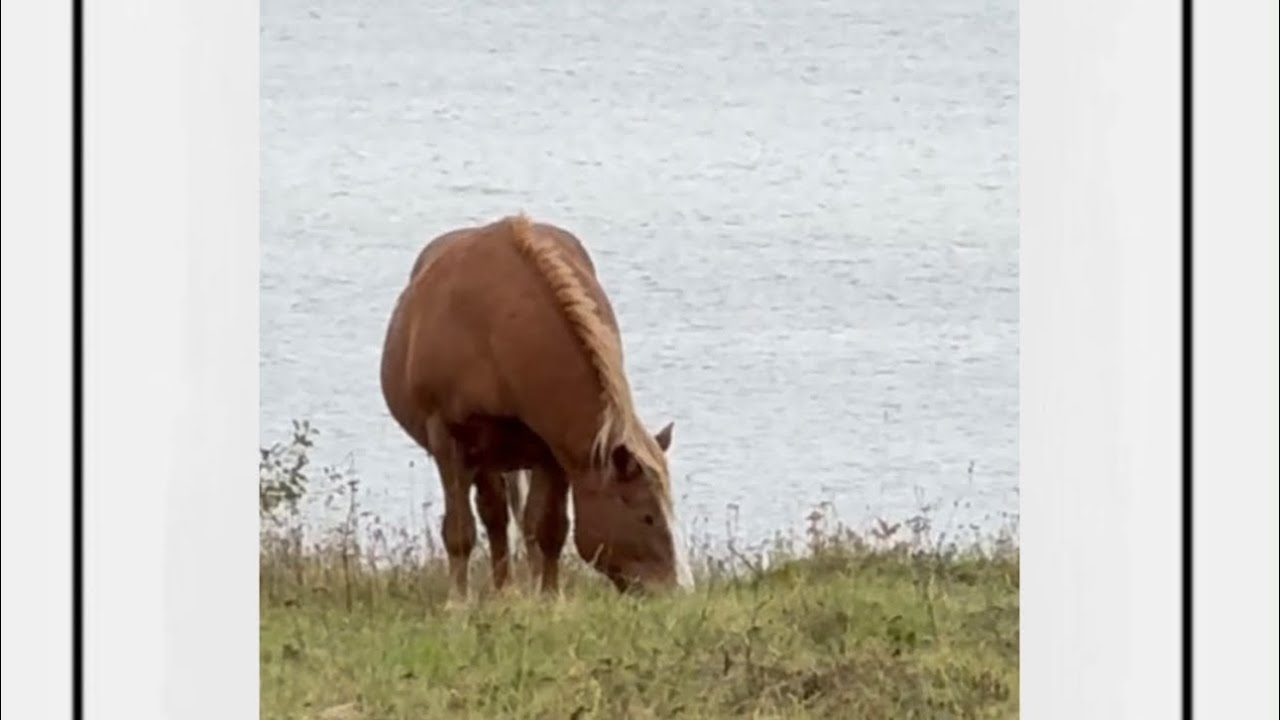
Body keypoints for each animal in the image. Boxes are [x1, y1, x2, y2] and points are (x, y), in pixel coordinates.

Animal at [379, 214, 692, 601]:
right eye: (647, 516)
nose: (678, 590)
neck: (494, 330)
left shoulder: (554, 449)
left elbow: (548, 528)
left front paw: (550, 598)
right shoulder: (449, 440)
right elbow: (460, 530)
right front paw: (458, 602)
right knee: (494, 516)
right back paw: (503, 590)